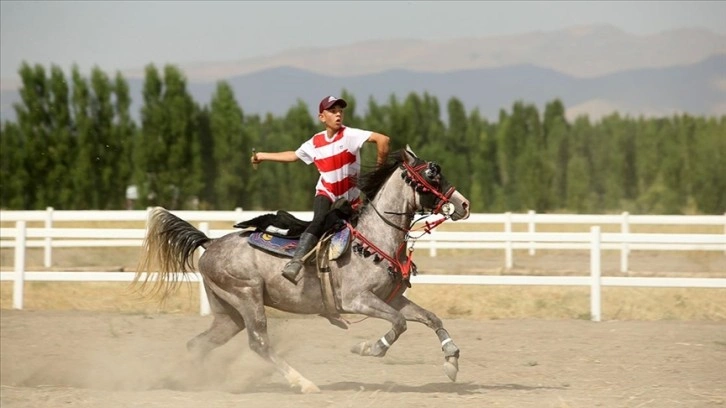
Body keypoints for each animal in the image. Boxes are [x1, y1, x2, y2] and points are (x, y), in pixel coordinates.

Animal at [134, 145, 474, 394]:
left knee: (201, 343)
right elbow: (400, 324)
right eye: (432, 174)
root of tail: (210, 243)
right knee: (259, 343)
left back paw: (188, 381)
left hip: (229, 314)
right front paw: (369, 347)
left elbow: (430, 317)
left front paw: (452, 361)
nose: (464, 205)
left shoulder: (391, 298)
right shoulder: (358, 300)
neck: (374, 238)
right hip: (246, 297)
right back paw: (304, 383)